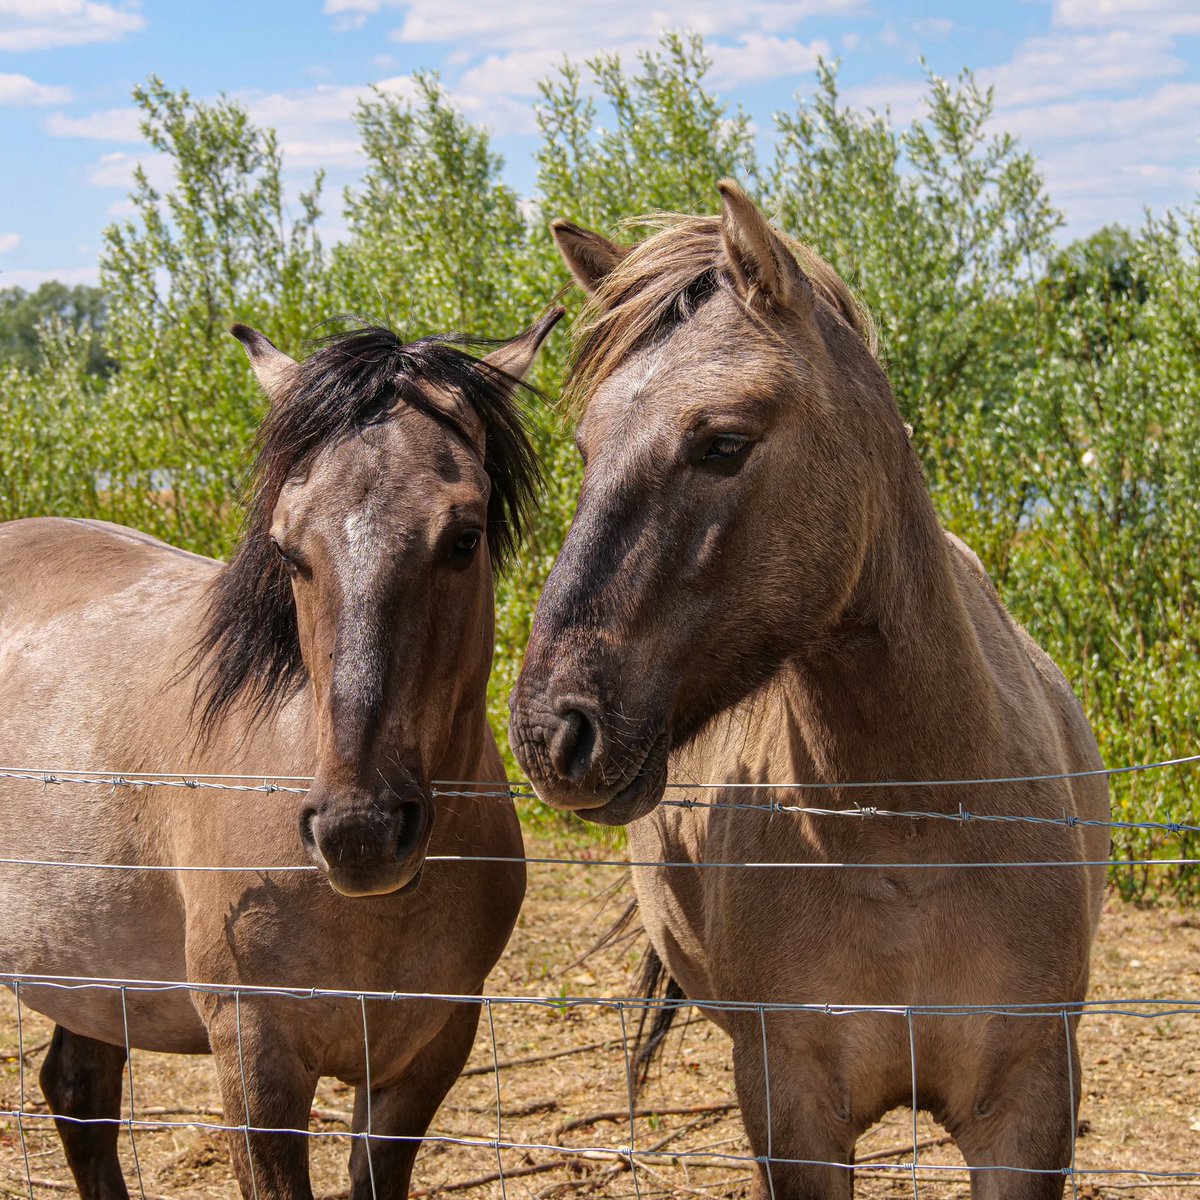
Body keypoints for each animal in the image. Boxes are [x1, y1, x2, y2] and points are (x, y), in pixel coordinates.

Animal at [0, 306, 560, 1200]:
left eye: (464, 538)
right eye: (290, 551)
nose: (360, 832)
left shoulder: (425, 1056)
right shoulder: (257, 1058)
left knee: (80, 1094)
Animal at [509, 183, 1109, 1199]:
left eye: (722, 443)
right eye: (587, 449)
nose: (553, 732)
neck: (913, 830)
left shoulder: (1029, 1109)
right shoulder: (793, 1109)